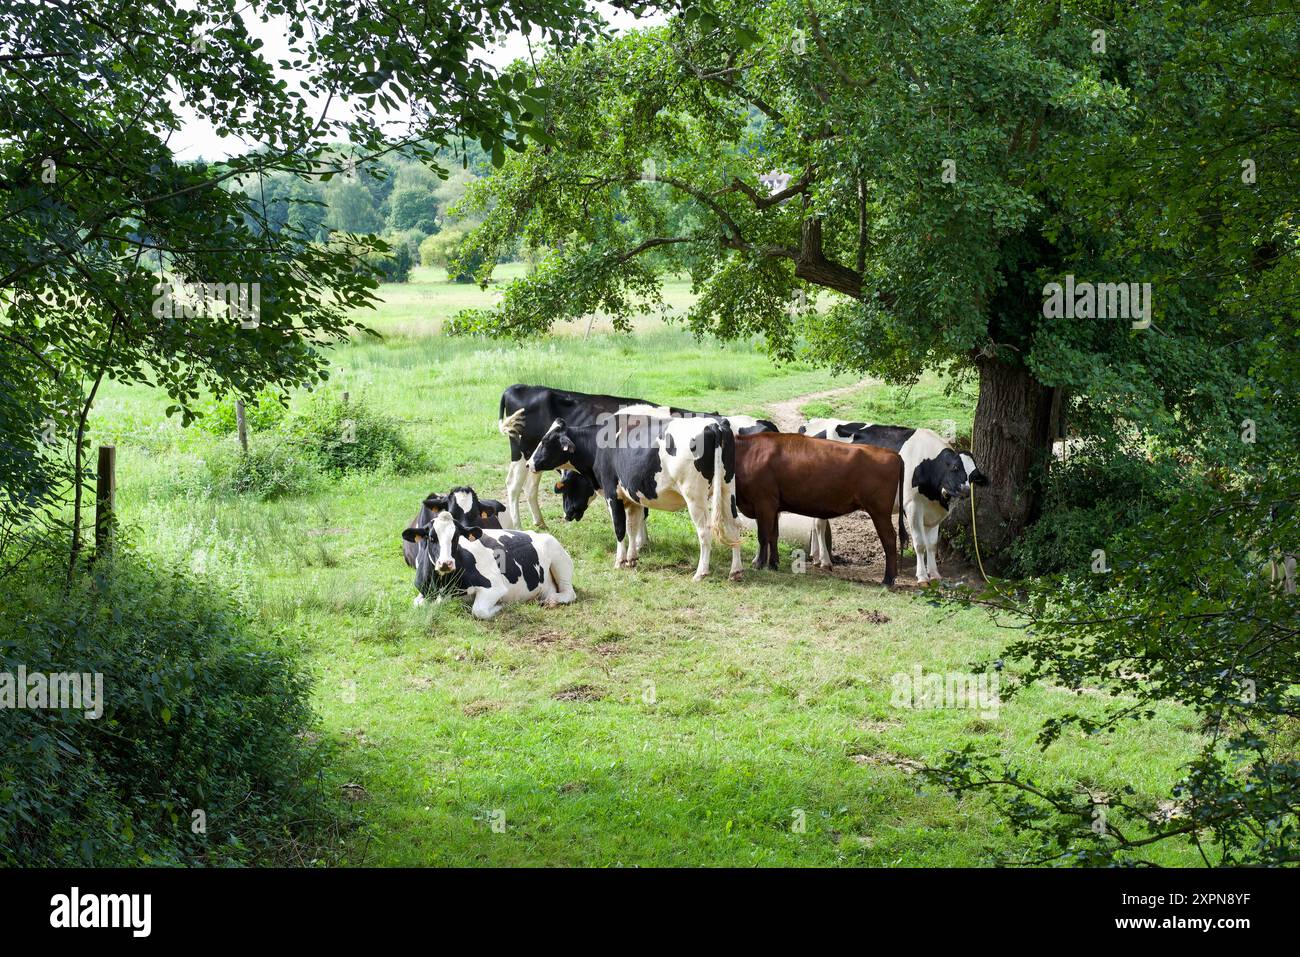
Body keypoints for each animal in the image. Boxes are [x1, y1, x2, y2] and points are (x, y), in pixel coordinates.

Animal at [400, 509, 574, 621]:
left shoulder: (495, 587)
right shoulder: (423, 591)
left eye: (456, 537)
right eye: (431, 537)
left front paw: (500, 606)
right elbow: (418, 604)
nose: (445, 563)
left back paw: (550, 600)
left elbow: (479, 611)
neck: (444, 585)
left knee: (569, 593)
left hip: (559, 556)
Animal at [527, 413, 748, 579]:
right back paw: (735, 570)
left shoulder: (612, 494)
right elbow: (633, 527)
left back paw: (701, 572)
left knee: (704, 531)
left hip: (695, 496)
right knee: (733, 526)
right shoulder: (633, 497)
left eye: (545, 441)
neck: (598, 446)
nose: (529, 463)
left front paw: (619, 560)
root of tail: (714, 424)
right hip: (727, 489)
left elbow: (619, 528)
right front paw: (632, 558)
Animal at [733, 431, 904, 582]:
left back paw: (888, 580)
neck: (747, 453)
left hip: (879, 511)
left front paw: (759, 565)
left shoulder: (763, 503)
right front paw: (773, 565)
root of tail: (892, 454)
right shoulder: (774, 507)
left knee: (889, 539)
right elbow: (773, 535)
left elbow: (763, 536)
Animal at [795, 418, 987, 582]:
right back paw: (825, 561)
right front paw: (922, 577)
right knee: (820, 525)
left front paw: (934, 574)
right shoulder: (912, 506)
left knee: (814, 523)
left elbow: (932, 544)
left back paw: (816, 557)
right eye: (955, 468)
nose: (965, 491)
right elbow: (920, 543)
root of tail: (811, 424)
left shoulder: (935, 510)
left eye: (973, 476)